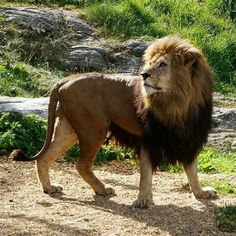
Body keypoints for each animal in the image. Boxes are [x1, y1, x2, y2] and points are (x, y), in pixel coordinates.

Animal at [11, 36, 218, 207]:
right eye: (150, 63)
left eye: (162, 64)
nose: (143, 75)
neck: (178, 102)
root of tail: (65, 79)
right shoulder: (148, 138)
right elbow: (146, 174)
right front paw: (143, 200)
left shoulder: (188, 138)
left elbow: (192, 171)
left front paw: (201, 193)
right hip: (93, 129)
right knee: (81, 164)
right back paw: (102, 189)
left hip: (68, 129)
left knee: (44, 158)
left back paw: (49, 188)